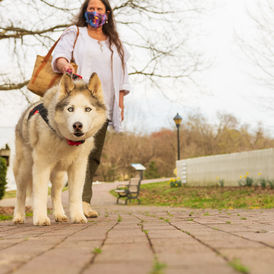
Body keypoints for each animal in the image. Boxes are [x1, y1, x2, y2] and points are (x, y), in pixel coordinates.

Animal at [13, 72, 107, 225]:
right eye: (70, 109)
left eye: (87, 109)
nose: (77, 125)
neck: (67, 141)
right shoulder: (41, 166)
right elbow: (40, 194)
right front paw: (40, 218)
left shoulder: (78, 168)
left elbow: (75, 195)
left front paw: (78, 216)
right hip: (24, 168)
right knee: (21, 193)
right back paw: (18, 216)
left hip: (60, 176)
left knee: (55, 193)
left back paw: (60, 214)